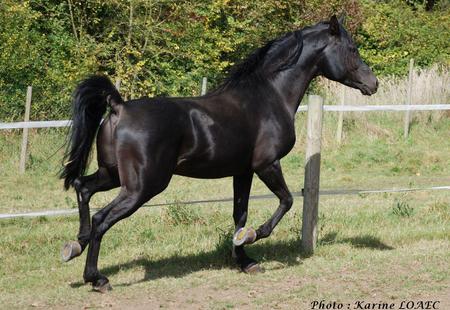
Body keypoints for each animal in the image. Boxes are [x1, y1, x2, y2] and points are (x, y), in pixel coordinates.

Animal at [59, 15, 376, 292]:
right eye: (352, 49)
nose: (373, 83)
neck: (270, 97)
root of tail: (118, 107)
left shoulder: (243, 171)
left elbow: (240, 213)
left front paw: (245, 260)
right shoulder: (267, 165)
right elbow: (286, 201)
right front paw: (252, 237)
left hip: (113, 175)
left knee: (82, 187)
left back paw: (75, 245)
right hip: (142, 186)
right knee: (101, 218)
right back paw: (97, 279)